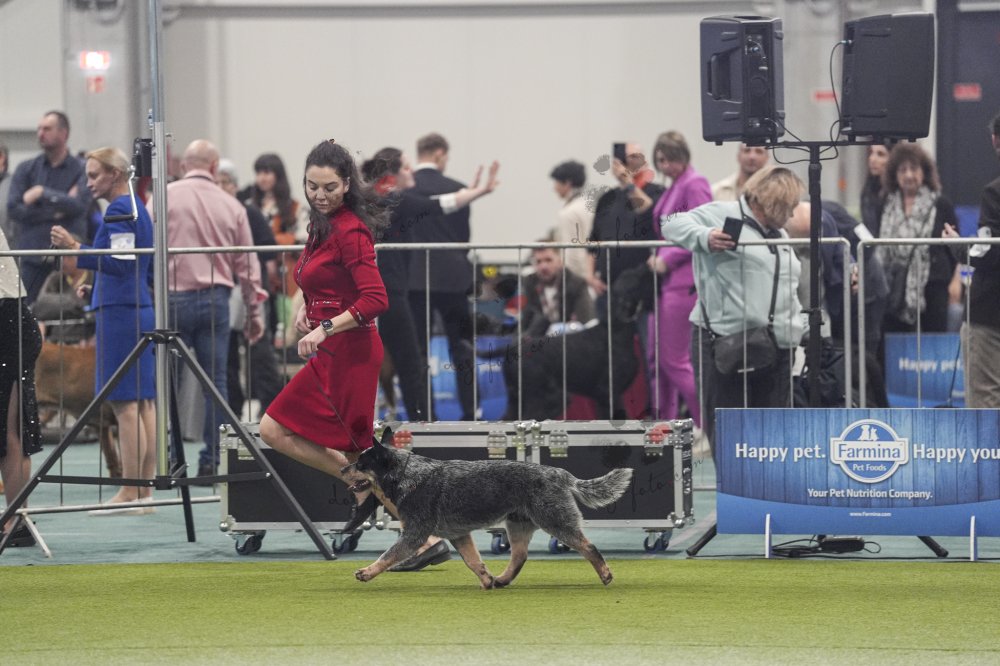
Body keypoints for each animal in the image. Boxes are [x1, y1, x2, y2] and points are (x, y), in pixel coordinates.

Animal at [342, 428, 633, 588]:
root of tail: (561, 473)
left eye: (361, 463)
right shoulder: (459, 535)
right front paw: (486, 580)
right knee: (519, 557)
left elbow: (387, 556)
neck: (406, 474)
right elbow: (474, 561)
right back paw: (502, 580)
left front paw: (367, 572)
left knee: (588, 547)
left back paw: (605, 574)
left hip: (556, 521)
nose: (343, 468)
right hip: (517, 526)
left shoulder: (414, 534)